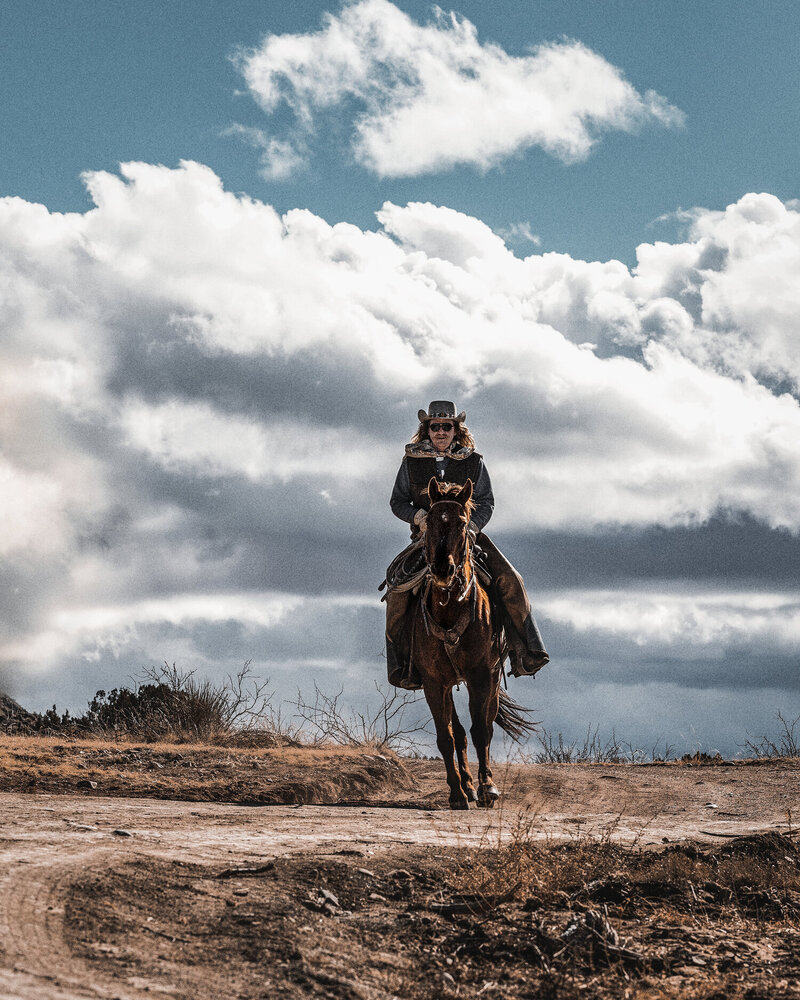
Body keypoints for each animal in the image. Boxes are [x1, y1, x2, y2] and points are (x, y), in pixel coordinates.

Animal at [416, 476, 536, 812]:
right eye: (430, 519)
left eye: (462, 522)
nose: (442, 569)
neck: (450, 606)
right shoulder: (434, 682)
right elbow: (446, 737)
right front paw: (458, 794)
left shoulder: (480, 675)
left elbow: (481, 730)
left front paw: (488, 789)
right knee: (457, 732)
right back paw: (466, 786)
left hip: (492, 679)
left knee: (487, 724)